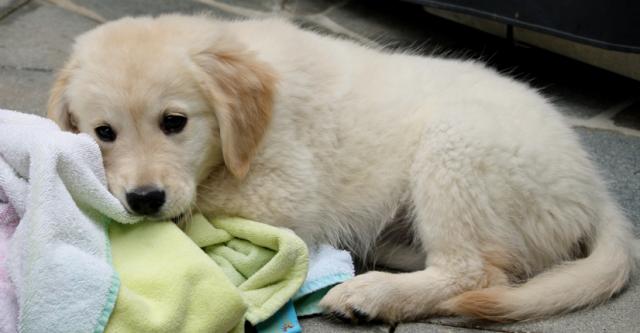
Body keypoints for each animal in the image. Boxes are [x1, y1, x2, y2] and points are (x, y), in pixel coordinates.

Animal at [47, 14, 636, 322]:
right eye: (104, 133)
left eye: (175, 122)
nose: (144, 199)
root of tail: (594, 189)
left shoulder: (285, 191)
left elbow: (205, 202)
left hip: (456, 150)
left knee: (476, 270)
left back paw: (372, 295)